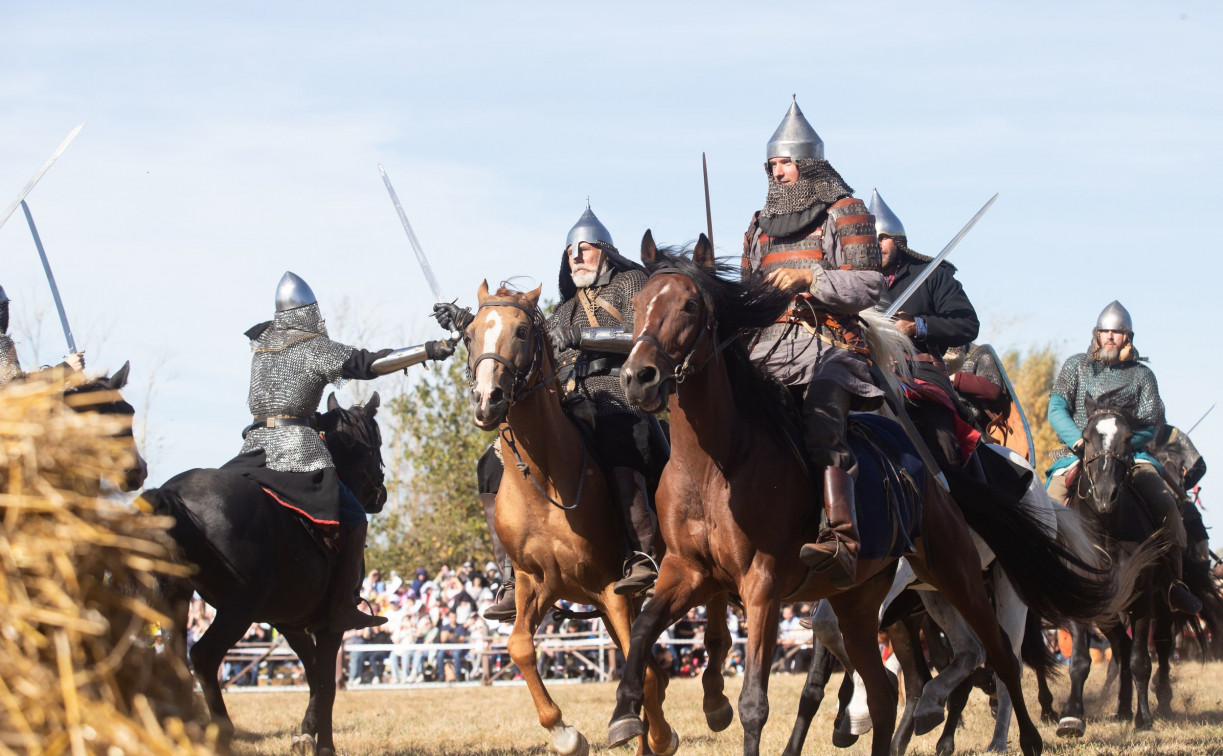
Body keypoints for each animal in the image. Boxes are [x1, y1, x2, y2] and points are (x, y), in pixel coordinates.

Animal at [134, 391, 384, 748]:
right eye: (375, 442)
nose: (380, 493)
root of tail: (170, 494)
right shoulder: (330, 625)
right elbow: (326, 682)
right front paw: (323, 743)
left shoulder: (291, 624)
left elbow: (313, 675)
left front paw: (307, 731)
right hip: (239, 608)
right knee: (204, 656)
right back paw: (221, 730)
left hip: (176, 598)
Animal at [464, 280, 679, 748]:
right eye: (470, 334)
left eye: (522, 331)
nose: (488, 401)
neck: (543, 483)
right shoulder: (538, 583)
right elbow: (519, 647)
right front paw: (564, 733)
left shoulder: (608, 588)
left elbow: (641, 672)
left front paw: (653, 734)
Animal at [611, 233, 1125, 753]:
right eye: (637, 303)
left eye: (690, 305)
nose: (638, 378)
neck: (716, 466)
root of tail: (936, 480)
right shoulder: (687, 572)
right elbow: (642, 629)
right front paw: (626, 711)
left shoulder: (763, 585)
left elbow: (755, 702)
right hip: (867, 599)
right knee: (894, 684)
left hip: (963, 576)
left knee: (998, 656)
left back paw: (1016, 737)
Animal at [1056, 393, 1169, 733]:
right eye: (1086, 437)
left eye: (1129, 438)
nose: (1106, 495)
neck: (1104, 530)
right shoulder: (1079, 602)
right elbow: (1080, 661)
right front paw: (1072, 716)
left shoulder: (1143, 601)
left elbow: (1140, 661)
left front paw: (1144, 718)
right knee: (1120, 646)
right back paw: (1120, 708)